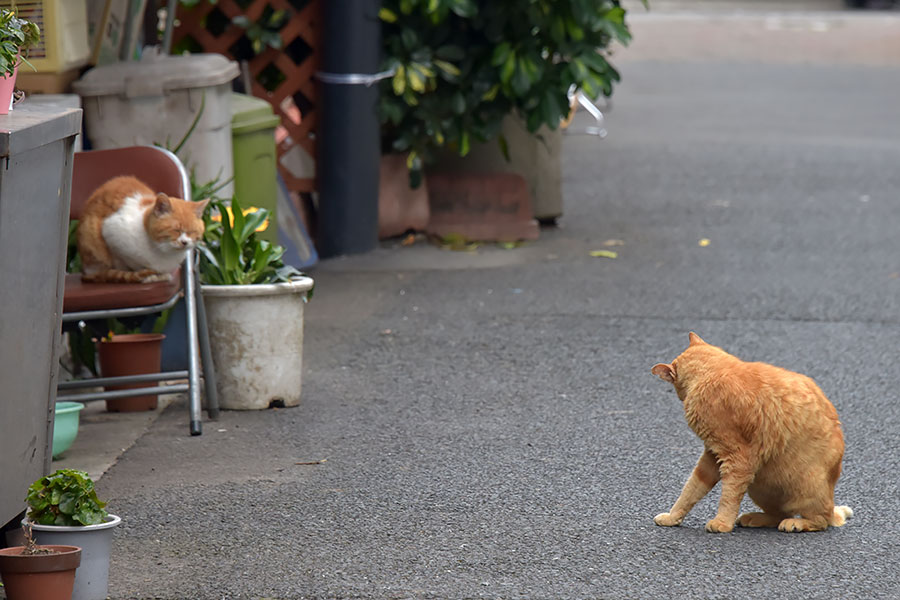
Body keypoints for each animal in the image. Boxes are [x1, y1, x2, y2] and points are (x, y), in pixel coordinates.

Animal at [76, 176, 207, 284]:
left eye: (192, 232)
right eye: (176, 230)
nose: (184, 242)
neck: (164, 252)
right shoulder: (111, 236)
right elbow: (126, 265)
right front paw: (147, 276)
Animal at [648, 332, 852, 536]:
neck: (712, 372)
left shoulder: (737, 458)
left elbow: (728, 496)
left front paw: (722, 523)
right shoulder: (712, 455)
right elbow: (691, 489)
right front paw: (672, 517)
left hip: (803, 484)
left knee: (820, 520)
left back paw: (797, 523)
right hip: (761, 484)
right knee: (779, 514)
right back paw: (756, 518)